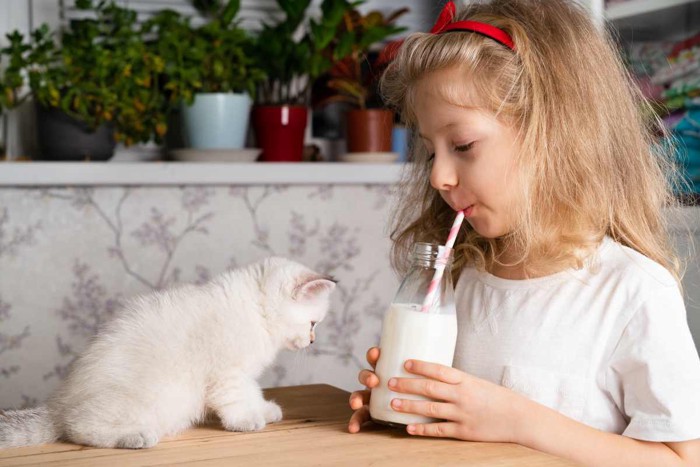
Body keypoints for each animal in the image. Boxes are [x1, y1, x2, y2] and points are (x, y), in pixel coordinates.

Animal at [0, 256, 336, 450]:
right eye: (313, 323)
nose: (312, 341)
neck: (256, 312)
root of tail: (56, 404)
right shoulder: (227, 374)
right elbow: (237, 400)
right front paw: (247, 421)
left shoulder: (243, 375)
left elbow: (252, 393)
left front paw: (264, 410)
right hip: (148, 402)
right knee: (78, 429)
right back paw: (135, 437)